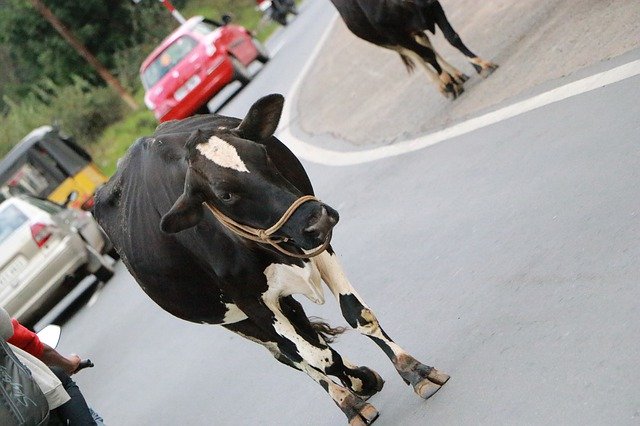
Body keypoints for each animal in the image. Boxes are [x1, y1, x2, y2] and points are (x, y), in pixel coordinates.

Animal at [94, 95, 450, 424]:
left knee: (305, 333)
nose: (317, 218)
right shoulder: (249, 301)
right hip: (235, 320)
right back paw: (350, 401)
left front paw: (414, 370)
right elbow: (316, 356)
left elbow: (356, 314)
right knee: (291, 354)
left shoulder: (317, 247)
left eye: (262, 154)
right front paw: (359, 384)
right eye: (225, 194)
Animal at [330, 0, 500, 98]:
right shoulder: (394, 35)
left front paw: (481, 65)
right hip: (382, 40)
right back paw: (443, 84)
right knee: (414, 53)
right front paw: (448, 84)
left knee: (424, 41)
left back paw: (457, 75)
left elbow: (452, 37)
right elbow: (426, 55)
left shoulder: (433, 5)